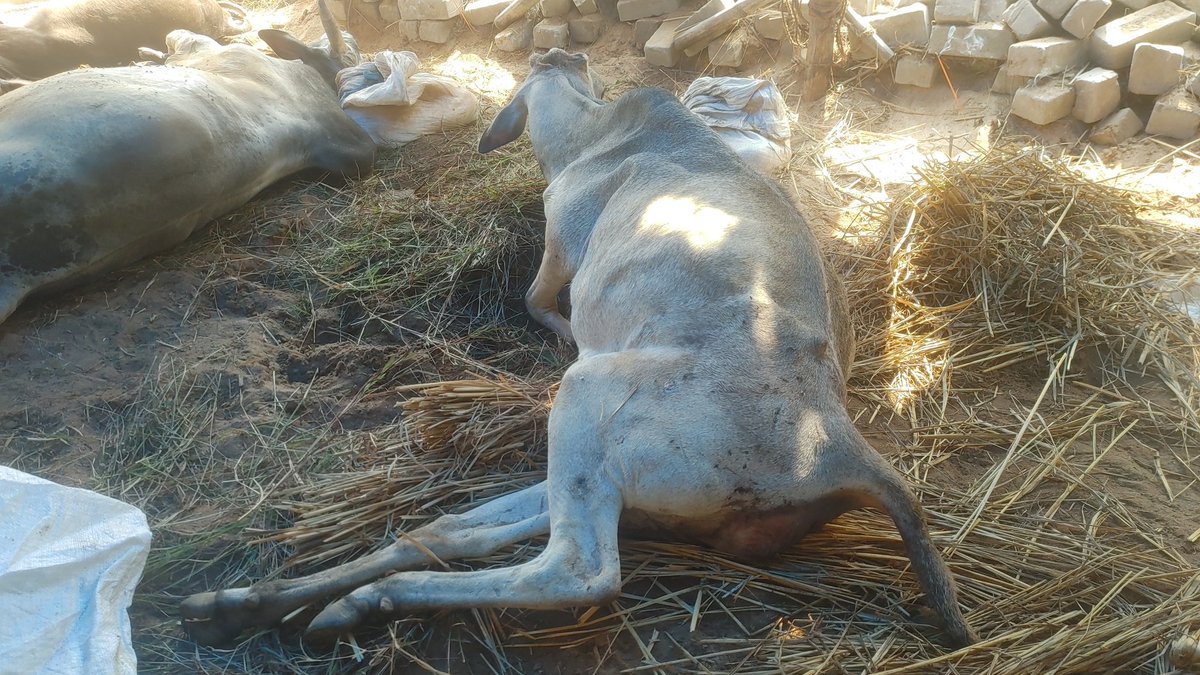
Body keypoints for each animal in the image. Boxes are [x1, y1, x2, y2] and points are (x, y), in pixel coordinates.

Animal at [179, 49, 977, 650]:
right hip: (619, 474)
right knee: (465, 531)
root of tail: (841, 445)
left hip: (593, 395)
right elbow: (440, 529)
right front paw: (241, 602)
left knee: (577, 569)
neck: (593, 134)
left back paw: (374, 600)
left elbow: (537, 300)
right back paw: (299, 601)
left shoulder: (560, 237)